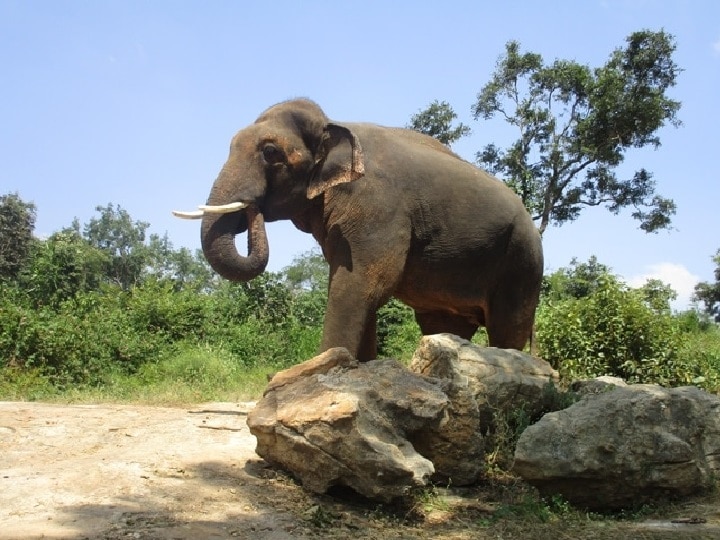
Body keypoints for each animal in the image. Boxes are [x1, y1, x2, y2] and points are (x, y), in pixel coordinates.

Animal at [174, 100, 544, 362]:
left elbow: (361, 284)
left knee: (507, 328)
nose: (253, 209)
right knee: (442, 327)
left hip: (522, 259)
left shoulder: (376, 207)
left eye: (270, 152)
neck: (334, 124)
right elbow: (356, 289)